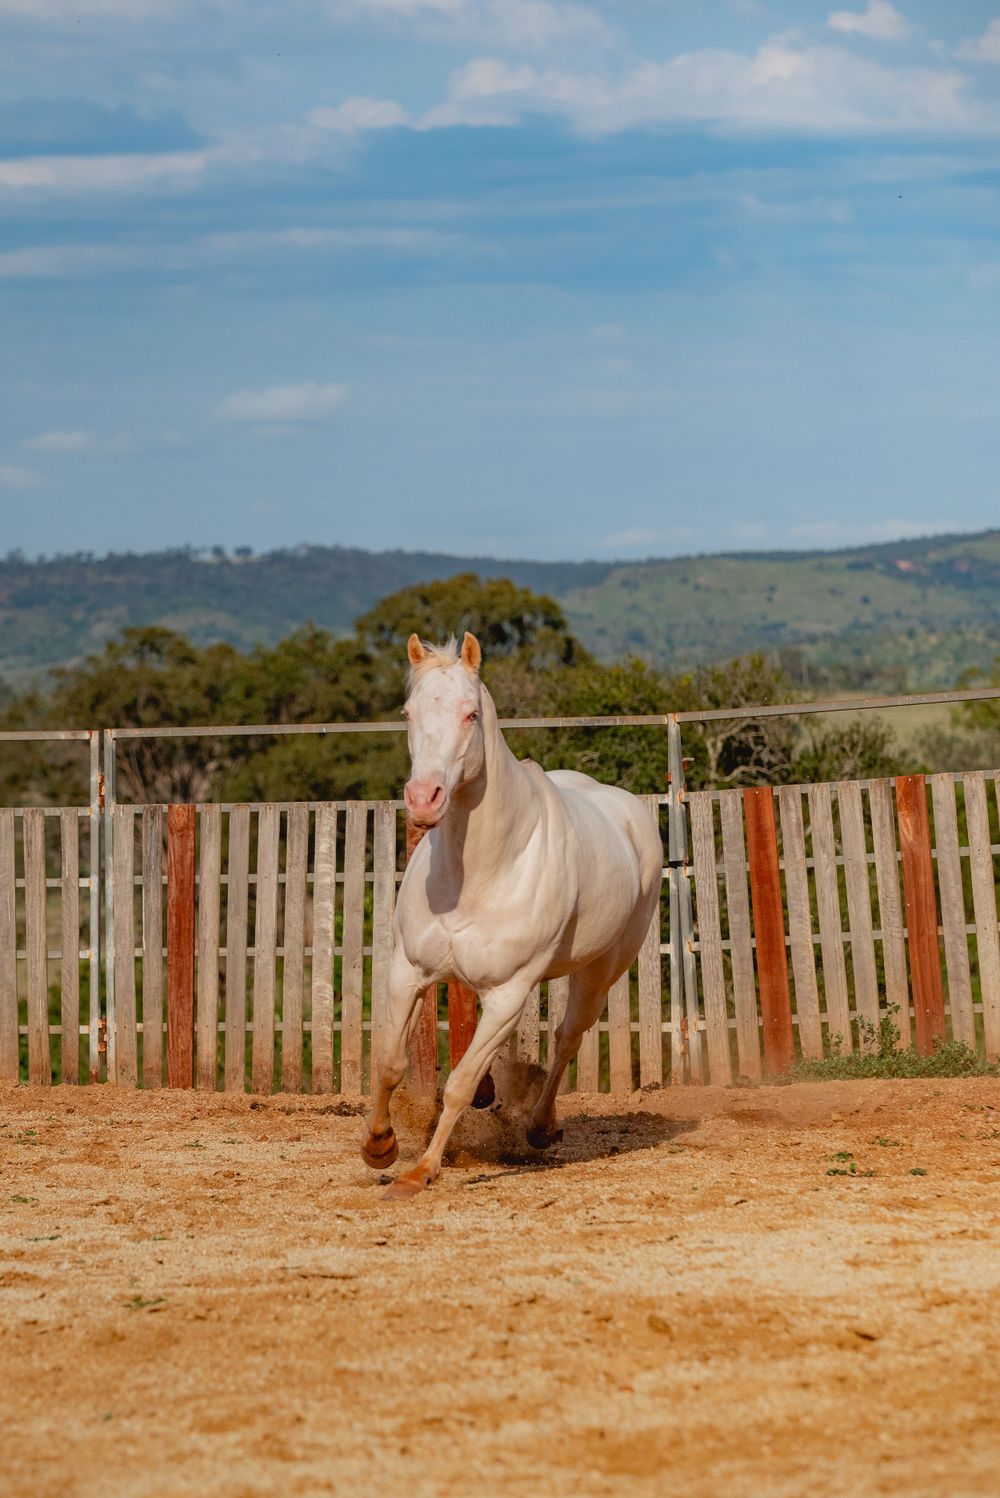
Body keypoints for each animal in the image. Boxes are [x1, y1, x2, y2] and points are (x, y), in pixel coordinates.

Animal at [361, 630, 663, 1200]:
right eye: (409, 712)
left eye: (471, 714)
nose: (424, 798)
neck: (479, 871)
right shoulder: (407, 971)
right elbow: (389, 1062)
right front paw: (380, 1145)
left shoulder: (508, 995)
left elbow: (457, 1085)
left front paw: (419, 1172)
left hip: (601, 970)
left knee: (568, 1037)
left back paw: (540, 1127)